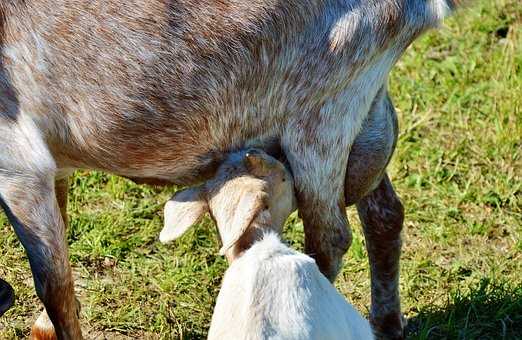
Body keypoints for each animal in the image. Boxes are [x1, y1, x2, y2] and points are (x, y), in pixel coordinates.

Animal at [1, 1, 464, 338]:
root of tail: (423, 8)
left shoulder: (20, 165)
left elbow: (53, 284)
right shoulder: (51, 163)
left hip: (321, 124)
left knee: (330, 238)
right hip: (363, 120)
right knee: (385, 212)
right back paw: (386, 325)